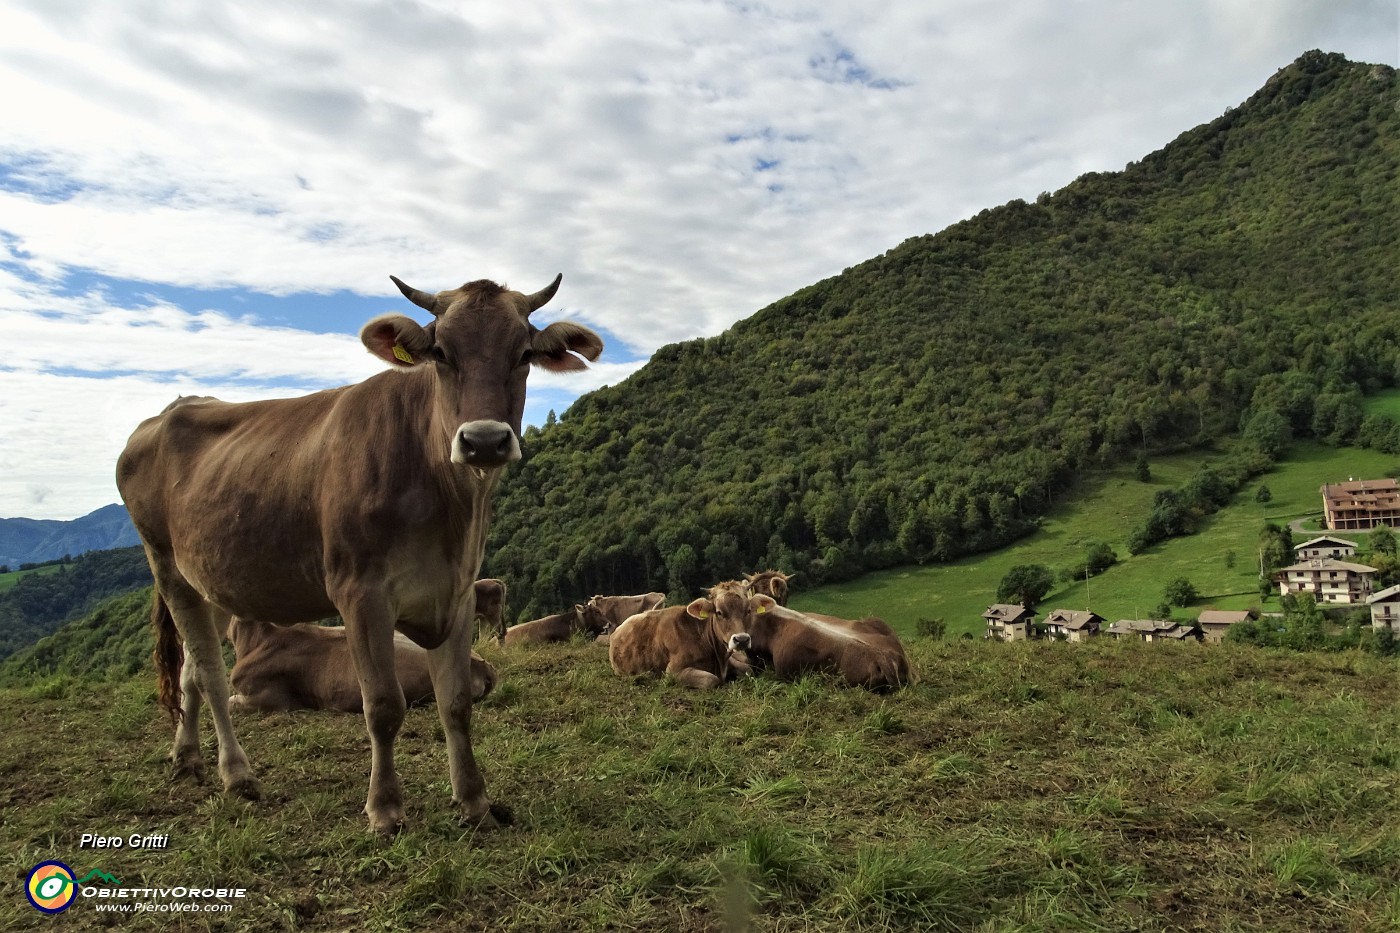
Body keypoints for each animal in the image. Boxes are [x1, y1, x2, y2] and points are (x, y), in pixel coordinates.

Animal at [607, 585, 767, 686]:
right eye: (719, 612)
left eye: (748, 610)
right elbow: (712, 680)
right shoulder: (673, 672)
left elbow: (748, 670)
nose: (742, 639)